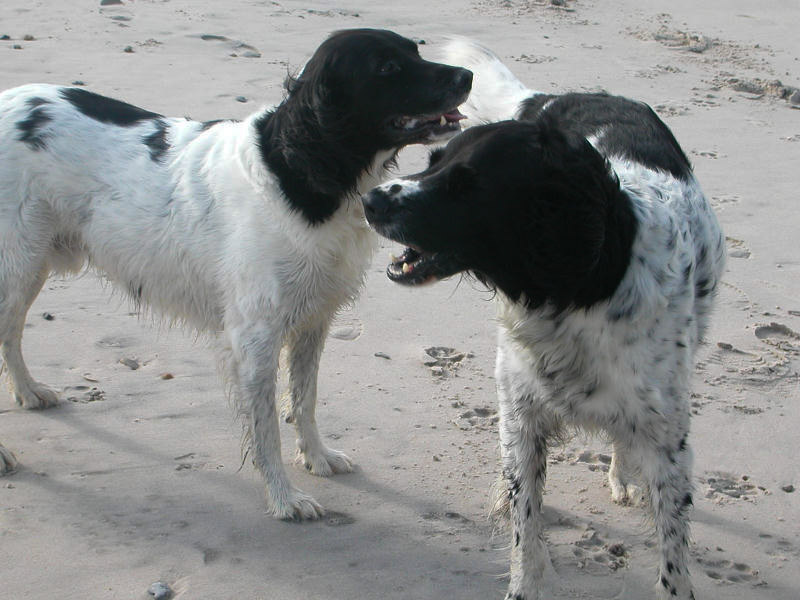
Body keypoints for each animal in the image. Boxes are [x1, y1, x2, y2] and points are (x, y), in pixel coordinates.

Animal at [0, 28, 472, 516]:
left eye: (415, 51)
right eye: (387, 67)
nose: (467, 75)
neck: (297, 169)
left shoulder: (313, 320)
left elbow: (304, 399)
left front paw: (317, 457)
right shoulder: (255, 334)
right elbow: (267, 429)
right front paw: (284, 498)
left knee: (11, 334)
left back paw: (29, 392)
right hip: (18, 265)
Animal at [362, 39, 724, 596]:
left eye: (466, 185)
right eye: (434, 161)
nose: (369, 199)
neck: (577, 290)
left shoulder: (669, 442)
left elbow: (673, 556)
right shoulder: (525, 414)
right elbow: (525, 530)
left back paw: (621, 474)